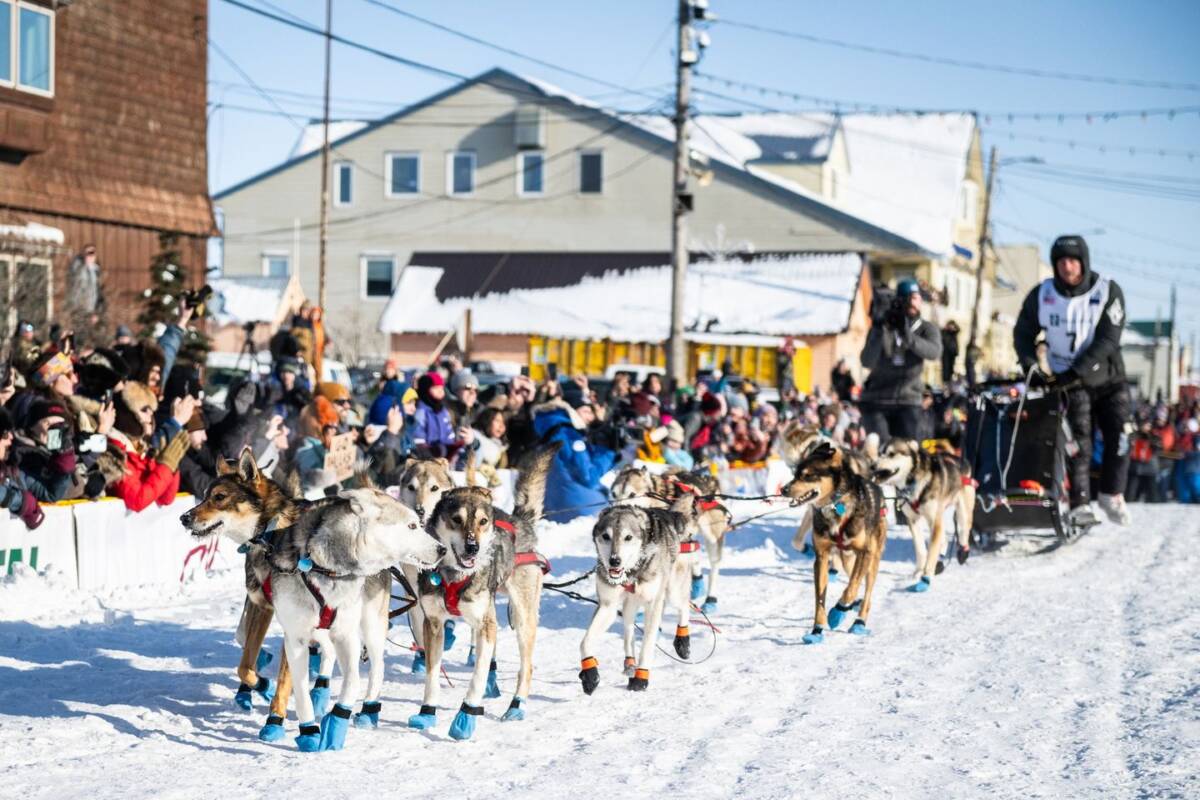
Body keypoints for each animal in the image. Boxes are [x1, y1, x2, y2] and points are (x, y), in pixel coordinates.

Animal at [782, 438, 888, 642]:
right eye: (796, 474)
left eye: (808, 476)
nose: (783, 489)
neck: (835, 506)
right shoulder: (822, 557)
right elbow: (820, 598)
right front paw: (817, 630)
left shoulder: (865, 552)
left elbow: (851, 588)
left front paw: (837, 613)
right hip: (847, 558)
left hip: (873, 558)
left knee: (866, 592)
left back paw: (859, 622)